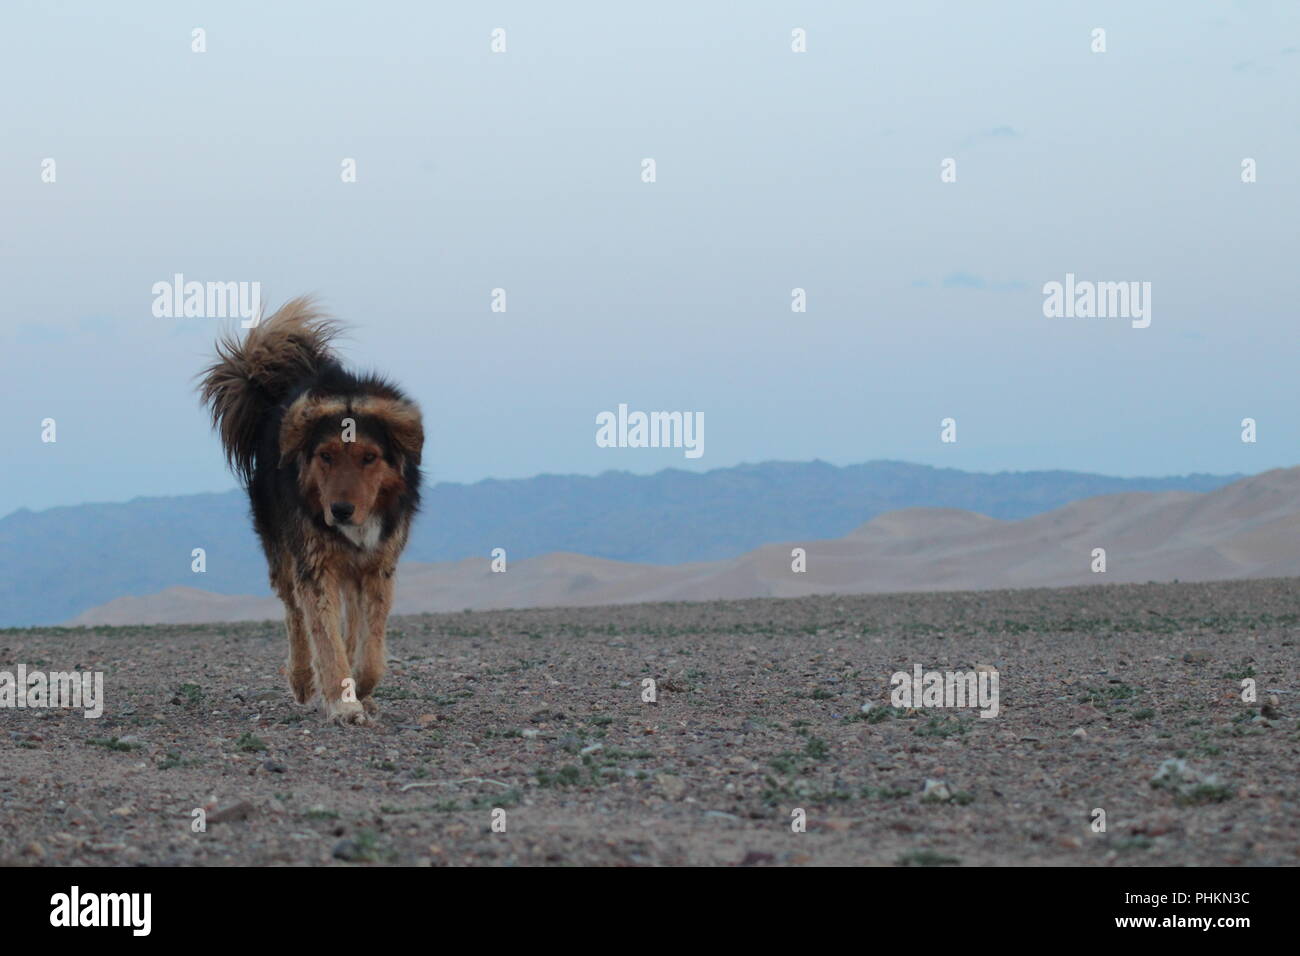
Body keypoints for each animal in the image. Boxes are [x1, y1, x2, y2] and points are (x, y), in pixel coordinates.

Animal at [197, 299, 423, 723]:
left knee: (349, 620)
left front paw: (362, 687)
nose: (341, 510)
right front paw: (343, 702)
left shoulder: (378, 565)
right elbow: (324, 637)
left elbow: (371, 649)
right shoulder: (314, 565)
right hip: (281, 550)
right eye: (326, 456)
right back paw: (302, 680)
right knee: (295, 614)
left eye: (369, 457)